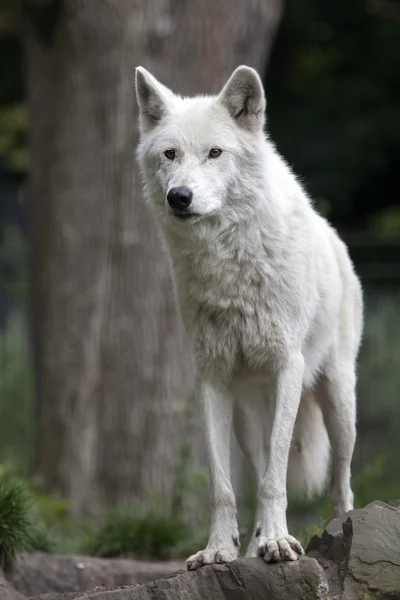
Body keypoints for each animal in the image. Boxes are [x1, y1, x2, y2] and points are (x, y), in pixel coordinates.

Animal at [134, 63, 362, 568]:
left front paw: (279, 543)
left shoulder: (287, 367)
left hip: (337, 399)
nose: (180, 196)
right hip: (246, 416)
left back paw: (339, 533)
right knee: (256, 473)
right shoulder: (212, 377)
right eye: (170, 154)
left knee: (340, 481)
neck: (226, 266)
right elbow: (224, 486)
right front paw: (220, 549)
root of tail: (336, 239)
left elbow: (277, 477)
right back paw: (256, 540)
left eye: (215, 153)